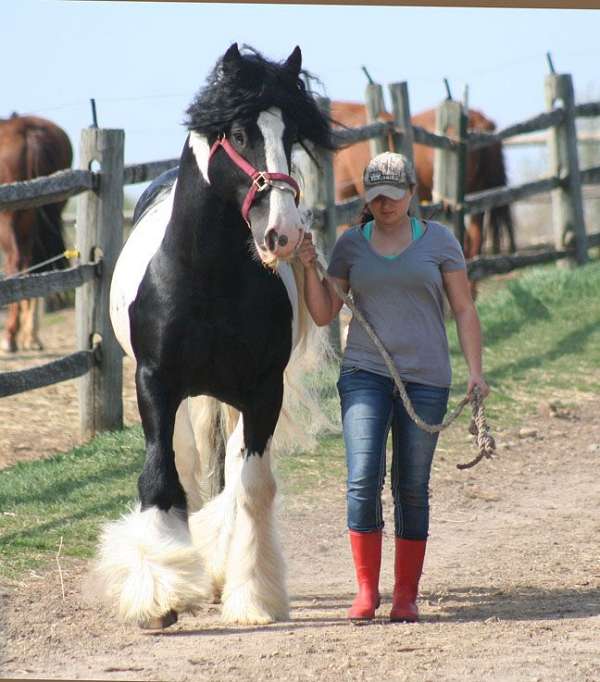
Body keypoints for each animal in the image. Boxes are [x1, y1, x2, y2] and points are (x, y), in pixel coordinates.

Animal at [0, 114, 73, 350]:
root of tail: (28, 131)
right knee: (33, 264)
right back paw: (31, 337)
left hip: (10, 221)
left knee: (16, 265)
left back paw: (11, 337)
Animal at [95, 42, 338, 628]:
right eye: (241, 133)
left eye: (290, 137)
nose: (283, 232)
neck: (207, 277)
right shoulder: (156, 386)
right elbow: (161, 479)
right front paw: (160, 597)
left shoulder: (262, 391)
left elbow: (250, 486)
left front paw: (253, 598)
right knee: (190, 467)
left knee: (227, 473)